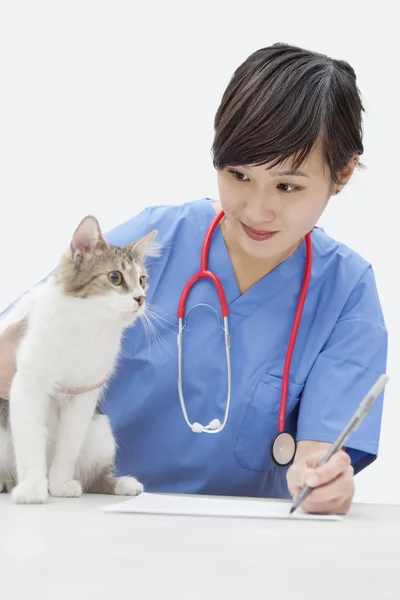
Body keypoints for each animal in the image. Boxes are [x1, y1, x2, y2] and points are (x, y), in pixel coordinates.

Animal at [0, 213, 159, 504]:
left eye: (142, 280)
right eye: (115, 277)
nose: (141, 298)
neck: (87, 326)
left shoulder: (84, 395)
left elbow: (68, 446)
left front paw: (60, 483)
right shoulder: (28, 386)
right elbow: (30, 443)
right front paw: (33, 487)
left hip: (101, 433)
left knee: (95, 477)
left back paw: (122, 483)